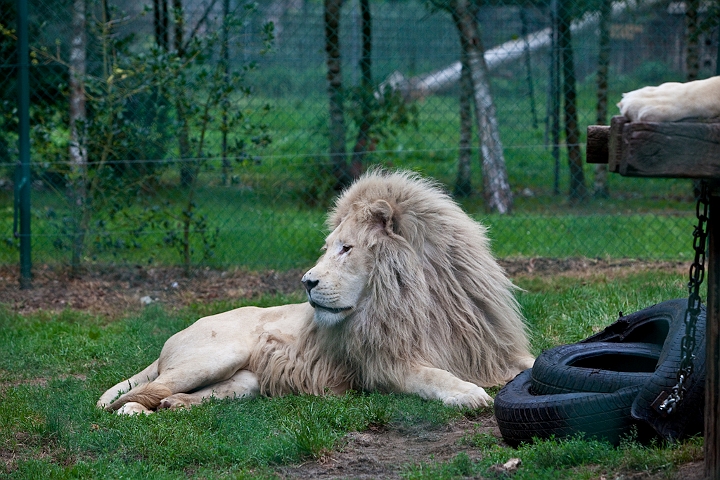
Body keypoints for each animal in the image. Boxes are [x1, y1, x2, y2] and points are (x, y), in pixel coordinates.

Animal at [98, 169, 535, 414]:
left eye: (346, 248)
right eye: (328, 247)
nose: (307, 282)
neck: (421, 299)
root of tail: (171, 341)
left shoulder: (491, 348)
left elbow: (535, 363)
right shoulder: (383, 366)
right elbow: (433, 376)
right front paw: (470, 393)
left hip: (245, 381)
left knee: (189, 394)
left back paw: (175, 406)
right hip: (217, 354)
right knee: (136, 394)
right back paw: (135, 410)